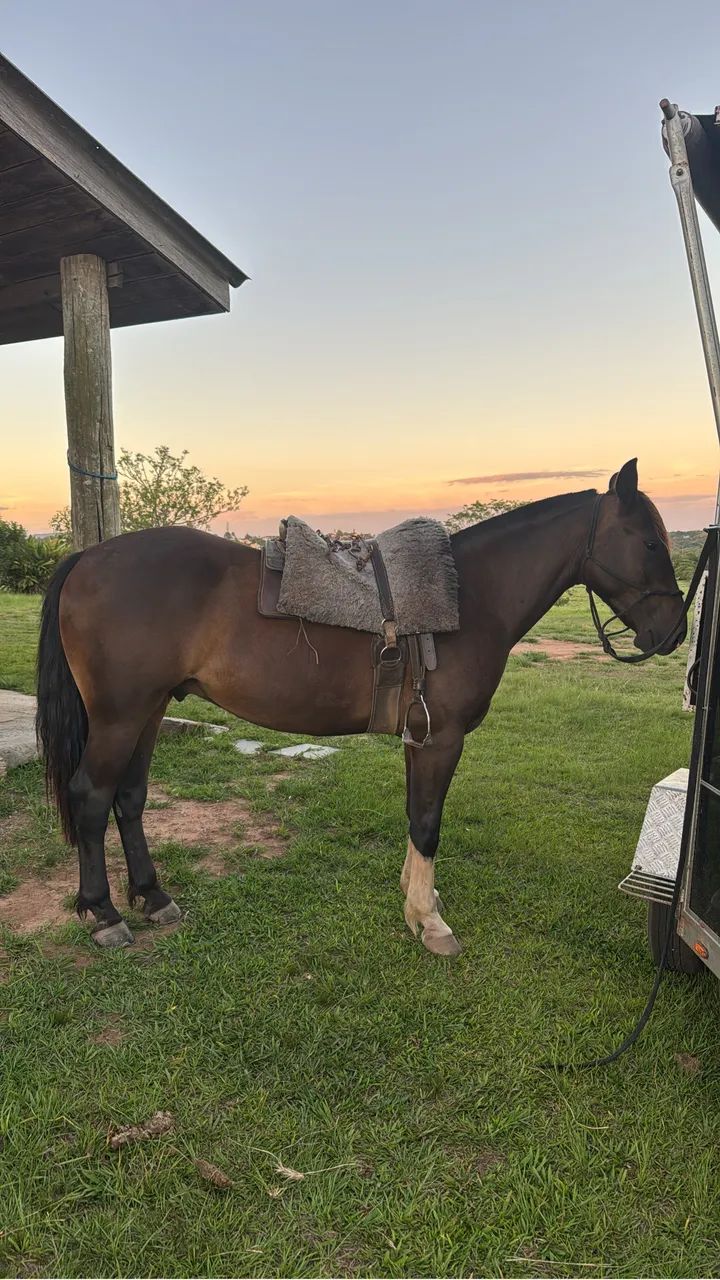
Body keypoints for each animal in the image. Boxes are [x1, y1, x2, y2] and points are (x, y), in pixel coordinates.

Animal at [36, 458, 686, 952]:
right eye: (651, 541)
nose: (675, 631)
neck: (468, 598)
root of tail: (87, 558)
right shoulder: (442, 738)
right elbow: (427, 823)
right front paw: (429, 921)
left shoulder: (420, 738)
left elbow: (415, 817)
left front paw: (417, 898)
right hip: (119, 717)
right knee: (90, 797)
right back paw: (103, 913)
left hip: (147, 714)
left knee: (129, 798)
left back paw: (153, 897)